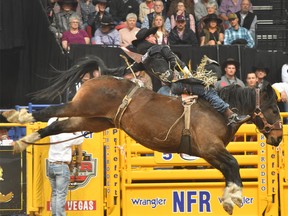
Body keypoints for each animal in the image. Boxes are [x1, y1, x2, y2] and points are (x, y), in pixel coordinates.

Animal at [1, 75, 282, 215]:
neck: (221, 110)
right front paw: (234, 198)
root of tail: (97, 78)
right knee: (53, 110)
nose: (278, 137)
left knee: (56, 126)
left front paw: (229, 199)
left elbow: (230, 170)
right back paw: (19, 117)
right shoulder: (210, 148)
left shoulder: (211, 153)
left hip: (92, 120)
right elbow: (234, 164)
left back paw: (23, 140)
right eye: (274, 109)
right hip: (82, 106)